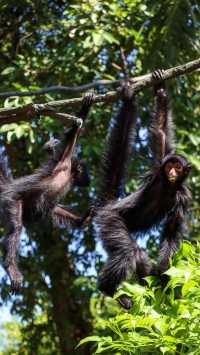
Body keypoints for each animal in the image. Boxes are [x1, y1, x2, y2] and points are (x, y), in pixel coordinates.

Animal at [0, 93, 94, 294]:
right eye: (87, 172)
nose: (89, 178)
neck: (70, 175)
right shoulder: (64, 161)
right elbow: (72, 137)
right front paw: (85, 109)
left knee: (51, 207)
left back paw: (83, 220)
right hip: (12, 200)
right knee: (16, 228)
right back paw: (11, 268)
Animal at [96, 71, 191, 310]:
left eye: (178, 167)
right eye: (169, 166)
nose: (172, 171)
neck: (169, 186)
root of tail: (109, 205)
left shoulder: (184, 196)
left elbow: (172, 229)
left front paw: (164, 274)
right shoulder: (158, 169)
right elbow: (160, 133)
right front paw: (160, 88)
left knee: (137, 254)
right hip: (110, 220)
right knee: (128, 251)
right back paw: (108, 289)